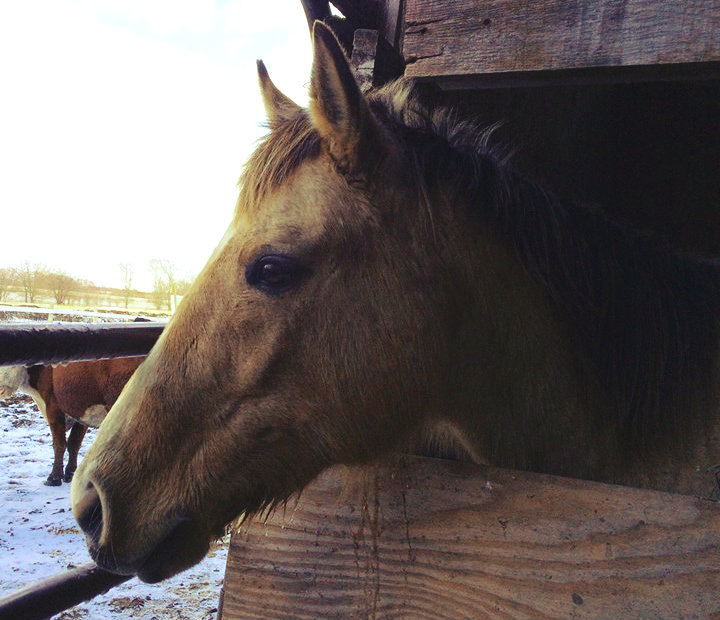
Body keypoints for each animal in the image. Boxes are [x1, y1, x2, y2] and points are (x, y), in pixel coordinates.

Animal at [0, 358, 143, 484]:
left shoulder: (53, 405)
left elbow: (59, 443)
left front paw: (54, 477)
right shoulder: (80, 411)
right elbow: (74, 443)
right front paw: (71, 473)